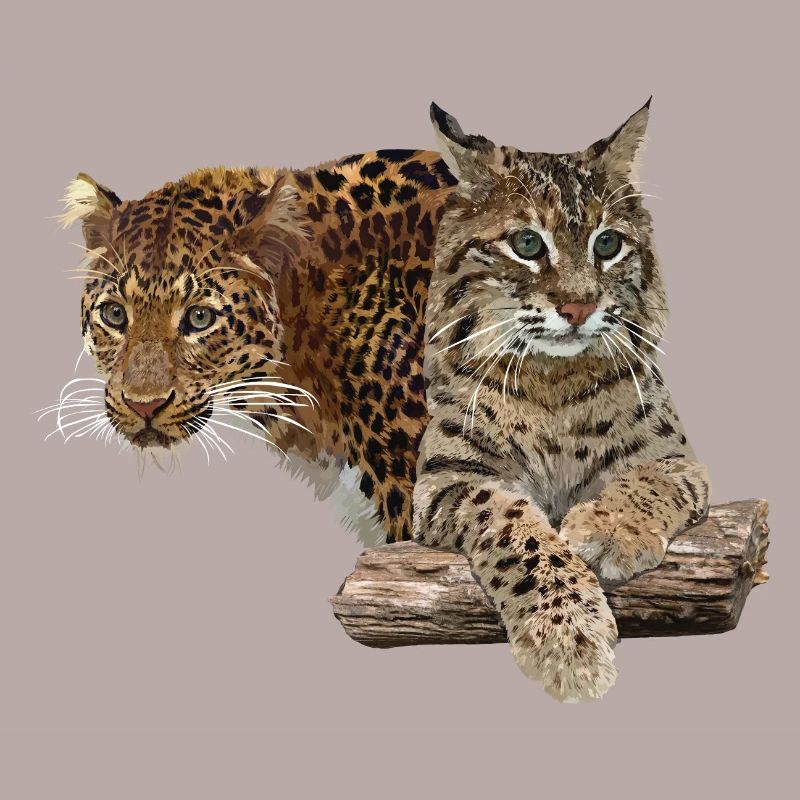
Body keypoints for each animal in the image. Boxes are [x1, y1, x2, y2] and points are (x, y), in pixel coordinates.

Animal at [412, 101, 710, 702]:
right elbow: (512, 525)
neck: (553, 378)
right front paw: (568, 641)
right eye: (527, 245)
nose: (579, 308)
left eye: (607, 245)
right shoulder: (445, 479)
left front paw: (611, 528)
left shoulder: (678, 460)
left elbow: (648, 479)